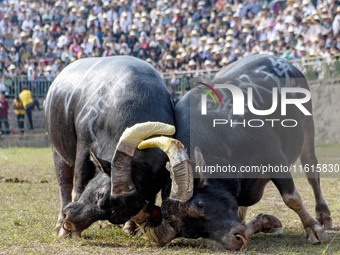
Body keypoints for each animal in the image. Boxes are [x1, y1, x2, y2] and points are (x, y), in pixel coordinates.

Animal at [43, 55, 174, 237]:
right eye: (99, 195)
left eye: (113, 215)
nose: (69, 221)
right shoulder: (84, 146)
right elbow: (78, 187)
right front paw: (67, 233)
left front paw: (129, 228)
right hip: (57, 151)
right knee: (65, 185)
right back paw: (58, 227)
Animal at [136, 54, 332, 250]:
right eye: (193, 232)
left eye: (200, 205)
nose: (234, 239)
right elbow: (238, 221)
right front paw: (267, 222)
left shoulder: (273, 156)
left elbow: (291, 198)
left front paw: (313, 229)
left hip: (307, 124)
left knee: (311, 169)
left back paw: (324, 216)